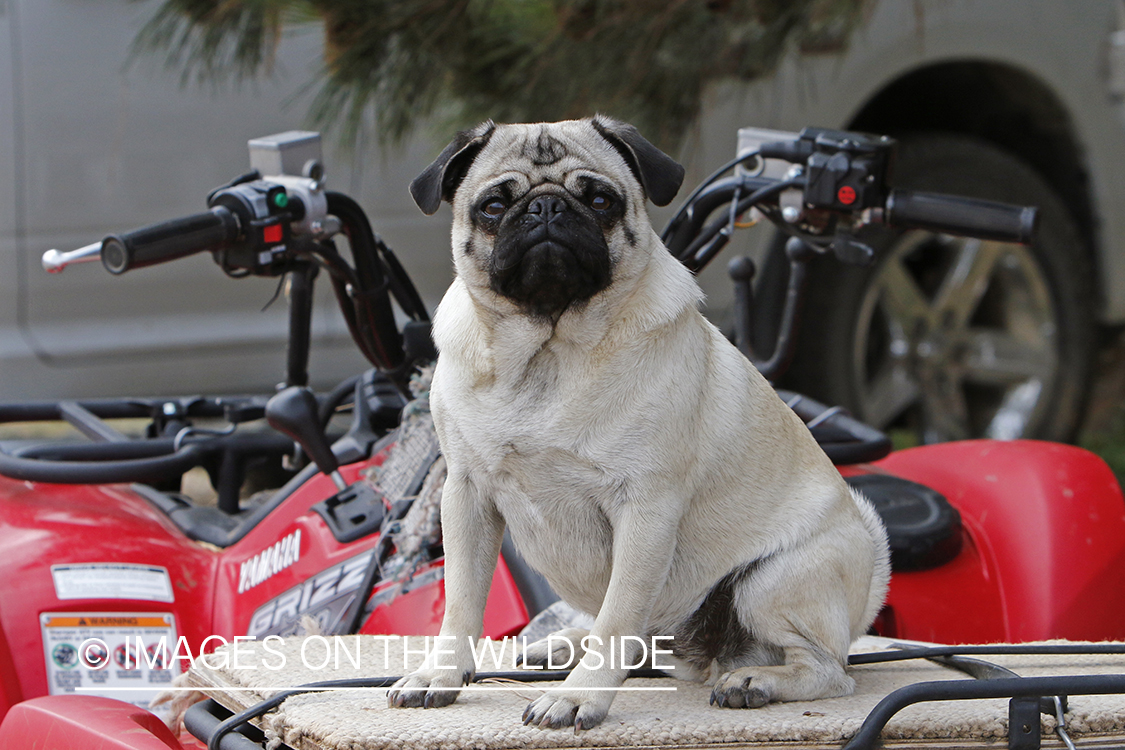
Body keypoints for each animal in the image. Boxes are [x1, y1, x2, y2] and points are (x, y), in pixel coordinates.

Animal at [387, 117, 886, 733]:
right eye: (494, 205)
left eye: (600, 200)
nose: (546, 207)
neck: (547, 351)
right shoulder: (466, 495)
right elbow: (461, 605)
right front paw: (440, 674)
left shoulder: (645, 508)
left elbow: (618, 615)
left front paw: (580, 697)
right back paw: (566, 643)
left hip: (773, 581)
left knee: (829, 670)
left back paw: (754, 681)